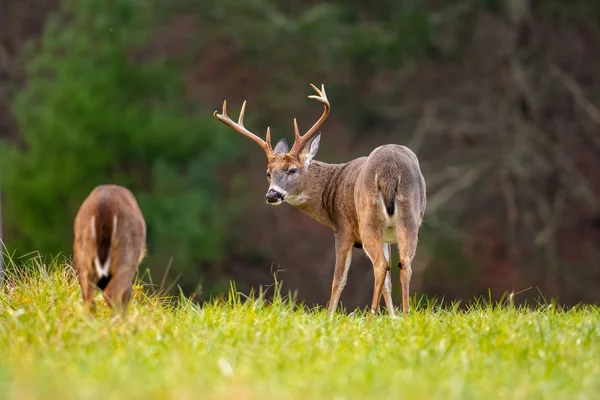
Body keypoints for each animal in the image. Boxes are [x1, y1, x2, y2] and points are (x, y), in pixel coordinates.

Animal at [73, 184, 148, 316]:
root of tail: (104, 207)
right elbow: (127, 293)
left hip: (83, 250)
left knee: (88, 298)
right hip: (127, 253)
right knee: (111, 294)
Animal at [214, 83, 426, 316]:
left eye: (292, 170)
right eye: (268, 173)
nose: (272, 195)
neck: (331, 190)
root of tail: (389, 170)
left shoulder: (343, 228)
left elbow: (338, 280)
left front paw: (330, 315)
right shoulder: (386, 236)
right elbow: (388, 283)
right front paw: (392, 317)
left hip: (368, 219)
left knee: (380, 266)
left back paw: (371, 316)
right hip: (409, 217)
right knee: (404, 264)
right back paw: (406, 315)